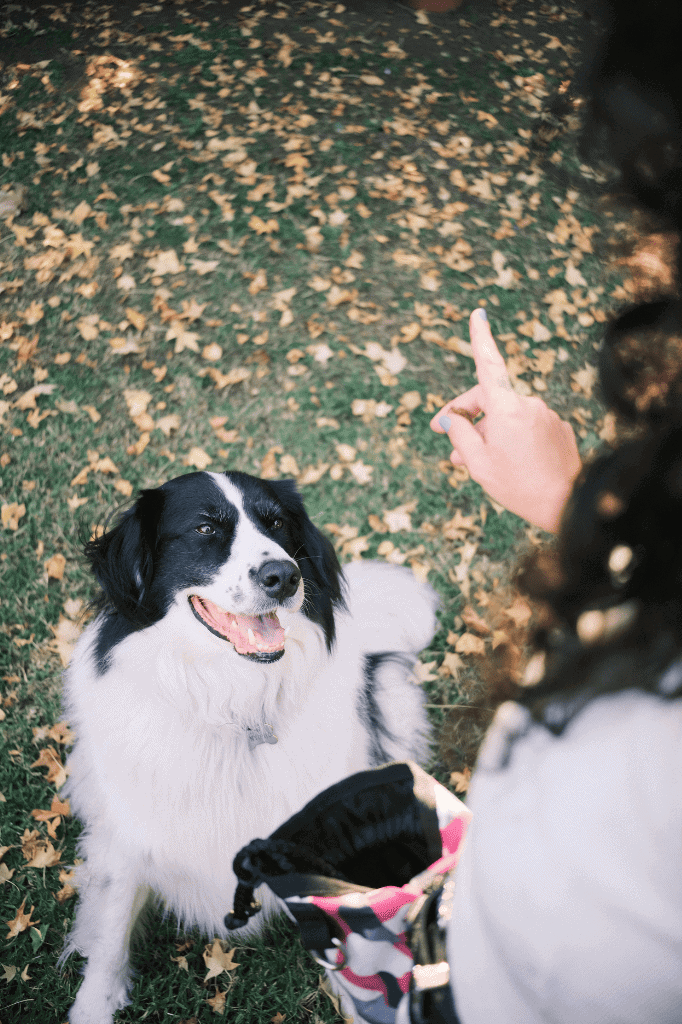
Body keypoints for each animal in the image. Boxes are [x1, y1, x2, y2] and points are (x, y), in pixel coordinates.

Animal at [59, 471, 436, 1024]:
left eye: (276, 523)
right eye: (204, 528)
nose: (285, 575)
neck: (234, 708)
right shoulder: (128, 830)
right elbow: (110, 930)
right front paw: (93, 1005)